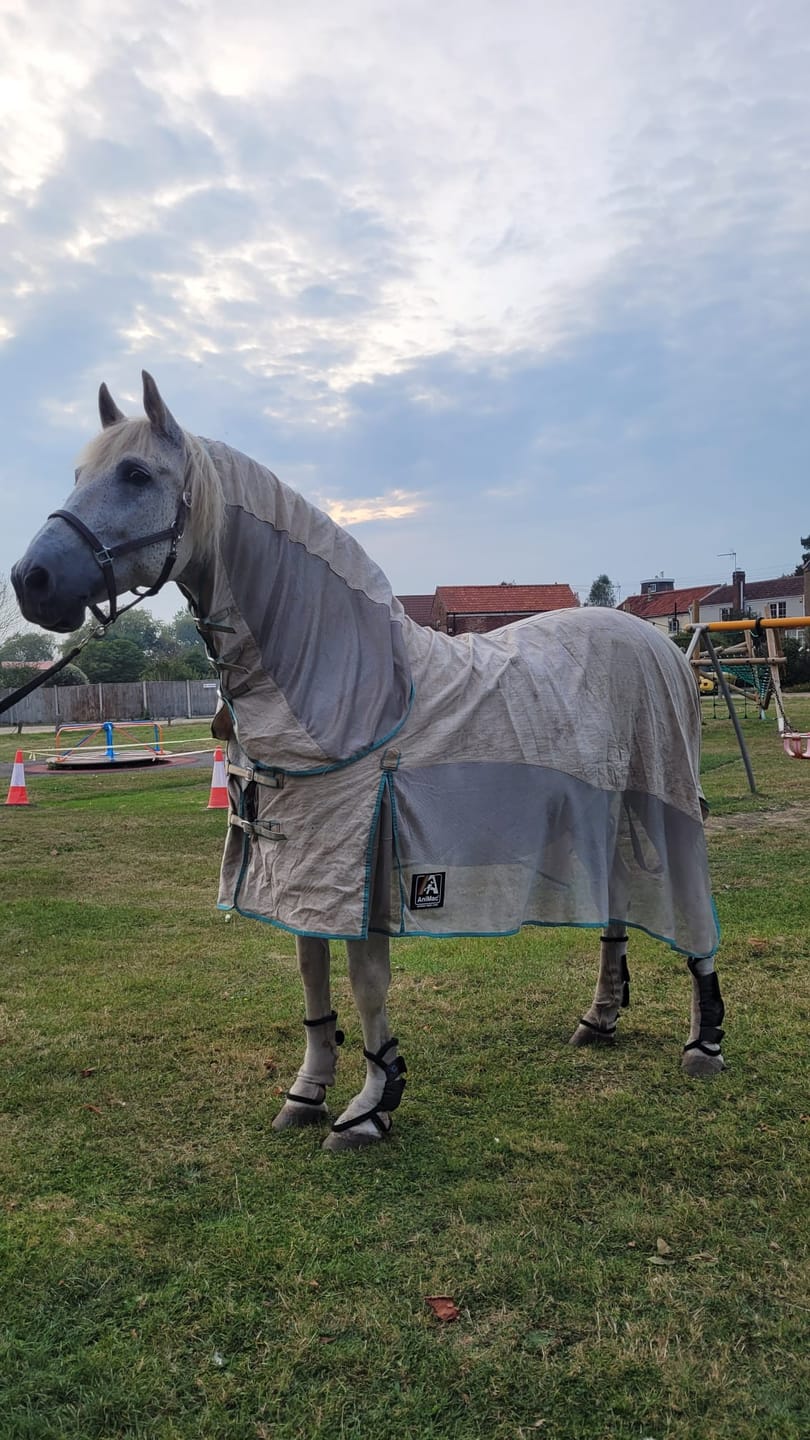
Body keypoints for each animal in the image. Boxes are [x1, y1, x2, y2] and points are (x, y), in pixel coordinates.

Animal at [12, 372, 726, 1151]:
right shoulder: (299, 866)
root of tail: (662, 648)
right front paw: (308, 1092)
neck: (345, 684)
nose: (30, 579)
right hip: (605, 809)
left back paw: (705, 1043)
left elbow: (366, 982)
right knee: (617, 901)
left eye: (136, 474)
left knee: (691, 909)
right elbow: (311, 973)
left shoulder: (360, 856)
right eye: (79, 475)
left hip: (664, 798)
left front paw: (372, 1106)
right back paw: (600, 1019)